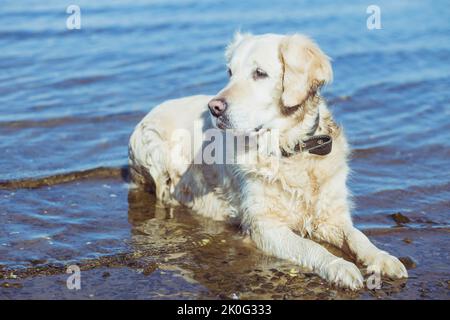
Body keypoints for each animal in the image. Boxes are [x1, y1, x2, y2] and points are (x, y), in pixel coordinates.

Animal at [127, 33, 408, 290]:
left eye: (259, 73)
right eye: (230, 72)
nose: (214, 107)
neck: (291, 150)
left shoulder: (332, 215)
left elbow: (357, 236)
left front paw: (384, 258)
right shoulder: (264, 226)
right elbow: (309, 246)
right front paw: (339, 266)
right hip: (151, 146)